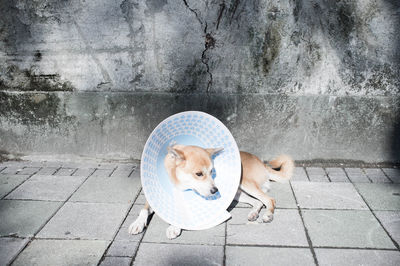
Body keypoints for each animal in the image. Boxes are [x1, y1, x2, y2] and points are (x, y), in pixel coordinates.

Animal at [129, 143, 294, 239]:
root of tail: (260, 161)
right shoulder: (152, 199)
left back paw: (268, 215)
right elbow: (143, 210)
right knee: (258, 202)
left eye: (212, 171)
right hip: (237, 194)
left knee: (269, 199)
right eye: (199, 174)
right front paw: (137, 223)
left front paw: (174, 227)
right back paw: (253, 213)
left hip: (246, 183)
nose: (215, 190)